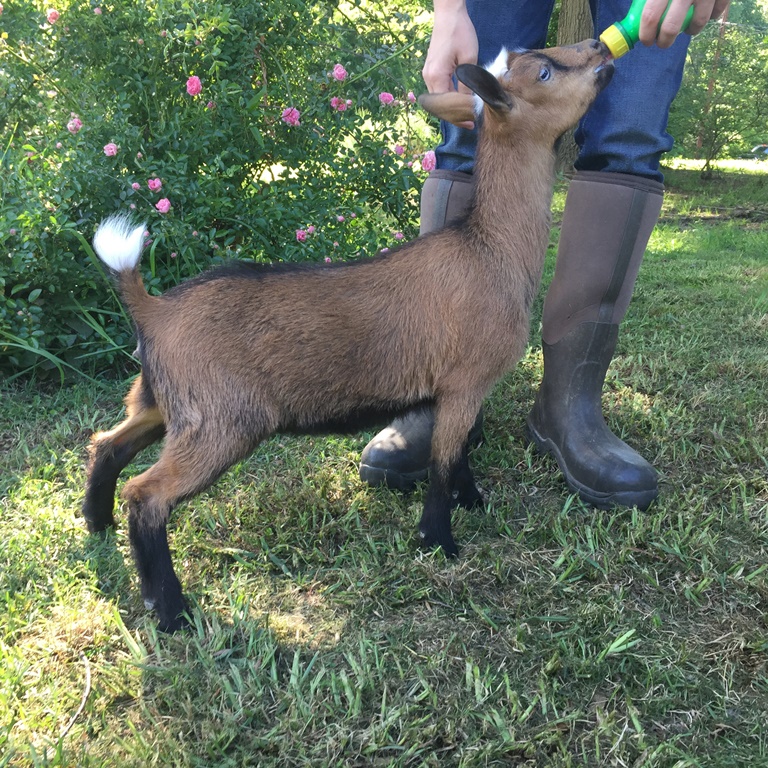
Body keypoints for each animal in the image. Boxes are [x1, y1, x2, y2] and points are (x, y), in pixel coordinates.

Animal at [82, 39, 612, 632]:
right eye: (543, 71)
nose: (599, 47)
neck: (490, 248)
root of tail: (152, 309)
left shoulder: (455, 390)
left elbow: (458, 457)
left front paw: (474, 502)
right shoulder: (465, 382)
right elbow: (444, 460)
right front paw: (439, 541)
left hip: (163, 401)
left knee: (108, 444)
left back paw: (97, 526)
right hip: (221, 420)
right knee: (146, 493)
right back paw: (171, 609)